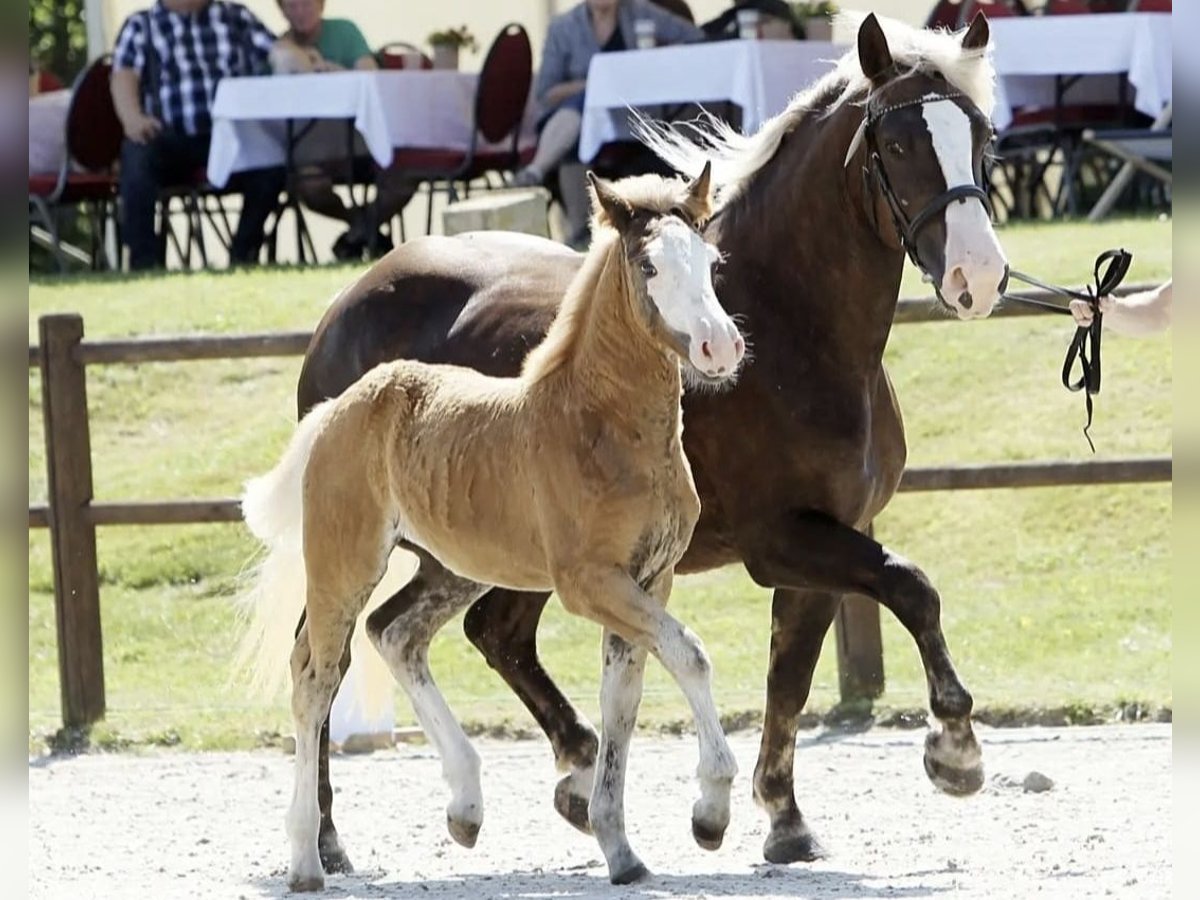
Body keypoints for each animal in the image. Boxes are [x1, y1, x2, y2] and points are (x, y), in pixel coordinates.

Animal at [240, 167, 747, 890]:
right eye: (648, 265)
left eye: (710, 262)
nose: (720, 345)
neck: (599, 424)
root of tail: (340, 406)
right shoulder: (590, 583)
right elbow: (690, 654)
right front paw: (710, 810)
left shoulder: (650, 578)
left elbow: (623, 699)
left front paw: (620, 848)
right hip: (344, 564)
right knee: (317, 675)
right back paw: (310, 858)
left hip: (455, 565)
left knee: (395, 633)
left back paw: (465, 806)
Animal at [288, 12, 1010, 873]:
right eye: (897, 143)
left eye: (982, 136)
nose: (978, 276)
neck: (793, 333)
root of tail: (349, 304)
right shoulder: (786, 539)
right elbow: (912, 587)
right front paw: (955, 751)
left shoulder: (824, 544)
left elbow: (791, 678)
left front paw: (782, 817)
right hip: (383, 546)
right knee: (329, 657)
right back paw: (328, 838)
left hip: (468, 550)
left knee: (464, 633)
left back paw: (566, 780)